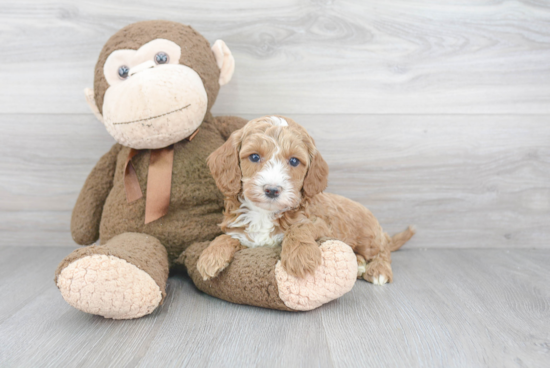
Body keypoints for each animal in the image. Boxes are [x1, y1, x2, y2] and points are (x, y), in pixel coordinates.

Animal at [196, 116, 416, 284]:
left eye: (294, 161)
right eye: (254, 157)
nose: (272, 190)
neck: (265, 213)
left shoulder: (321, 223)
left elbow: (299, 227)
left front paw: (300, 256)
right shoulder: (247, 238)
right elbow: (228, 237)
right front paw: (211, 255)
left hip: (369, 238)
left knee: (383, 251)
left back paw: (378, 270)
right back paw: (360, 263)